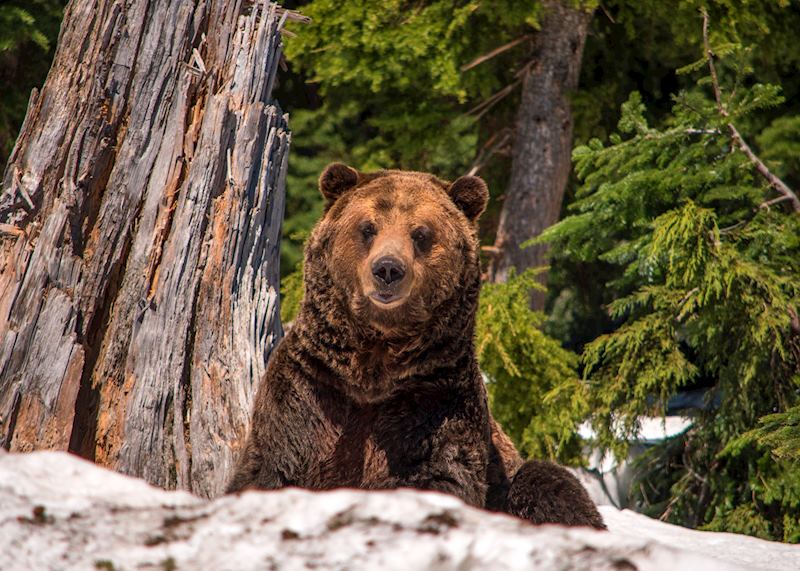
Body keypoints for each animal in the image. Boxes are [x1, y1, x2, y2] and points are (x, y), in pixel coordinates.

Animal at [227, 163, 604, 529]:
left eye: (421, 233)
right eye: (368, 227)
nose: (388, 269)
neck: (375, 365)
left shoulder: (436, 398)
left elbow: (439, 474)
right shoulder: (313, 388)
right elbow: (275, 465)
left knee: (548, 482)